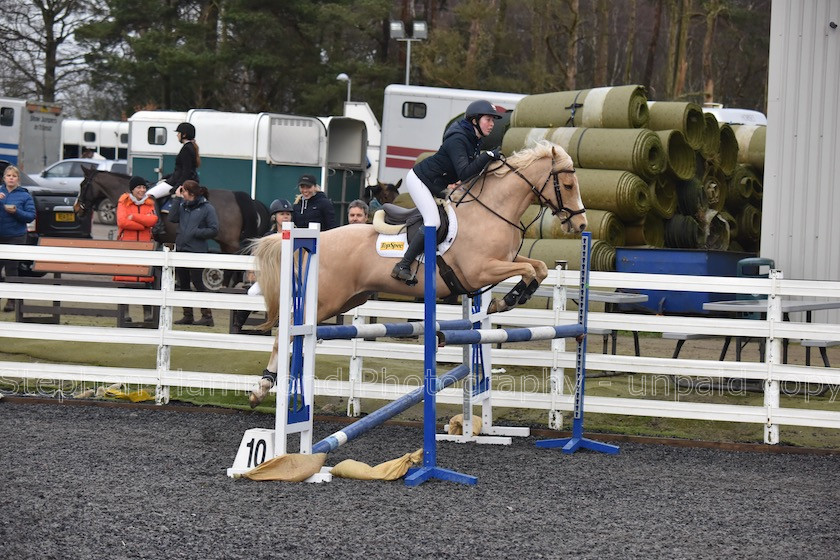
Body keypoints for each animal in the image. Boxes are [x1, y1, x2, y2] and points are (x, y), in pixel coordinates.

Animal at [74, 166, 270, 286]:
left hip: (230, 243)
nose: (76, 208)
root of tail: (239, 195)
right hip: (226, 243)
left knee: (232, 268)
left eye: (83, 184)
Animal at [249, 140, 588, 406]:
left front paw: (510, 299)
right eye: (568, 185)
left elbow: (538, 267)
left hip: (347, 299)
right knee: (284, 334)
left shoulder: (501, 262)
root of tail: (317, 238)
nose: (581, 224)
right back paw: (262, 387)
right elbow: (528, 268)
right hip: (326, 300)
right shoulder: (480, 271)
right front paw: (507, 300)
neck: (491, 210)